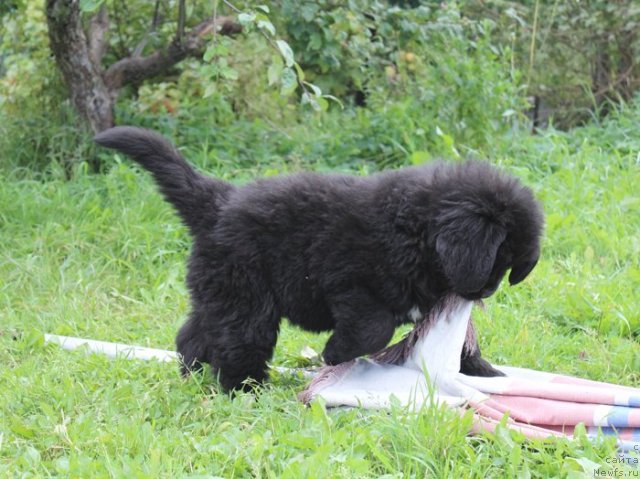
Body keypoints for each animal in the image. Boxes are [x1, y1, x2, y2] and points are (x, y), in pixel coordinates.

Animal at [96, 128, 544, 394]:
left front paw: (484, 371)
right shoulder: (353, 285)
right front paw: (334, 355)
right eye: (499, 256)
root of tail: (219, 201)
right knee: (240, 340)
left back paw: (193, 375)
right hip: (246, 295)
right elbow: (374, 328)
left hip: (218, 290)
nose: (487, 290)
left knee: (194, 335)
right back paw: (246, 388)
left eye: (509, 266)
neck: (416, 232)